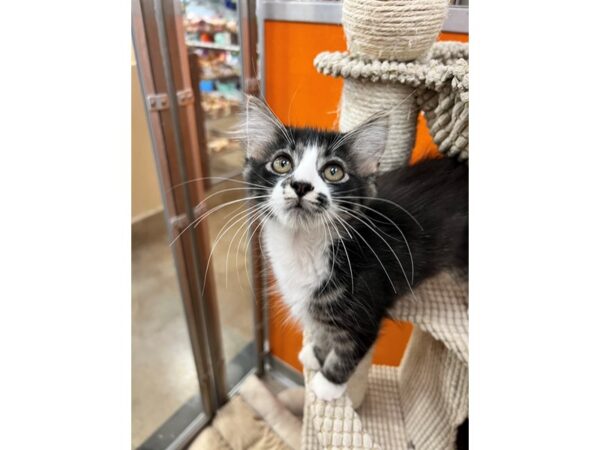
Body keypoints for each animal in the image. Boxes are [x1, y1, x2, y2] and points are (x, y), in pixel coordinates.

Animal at [240, 97, 468, 400]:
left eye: (333, 171)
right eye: (281, 163)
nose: (301, 185)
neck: (303, 248)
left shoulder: (366, 311)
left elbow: (347, 352)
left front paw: (327, 385)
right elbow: (321, 330)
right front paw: (316, 355)